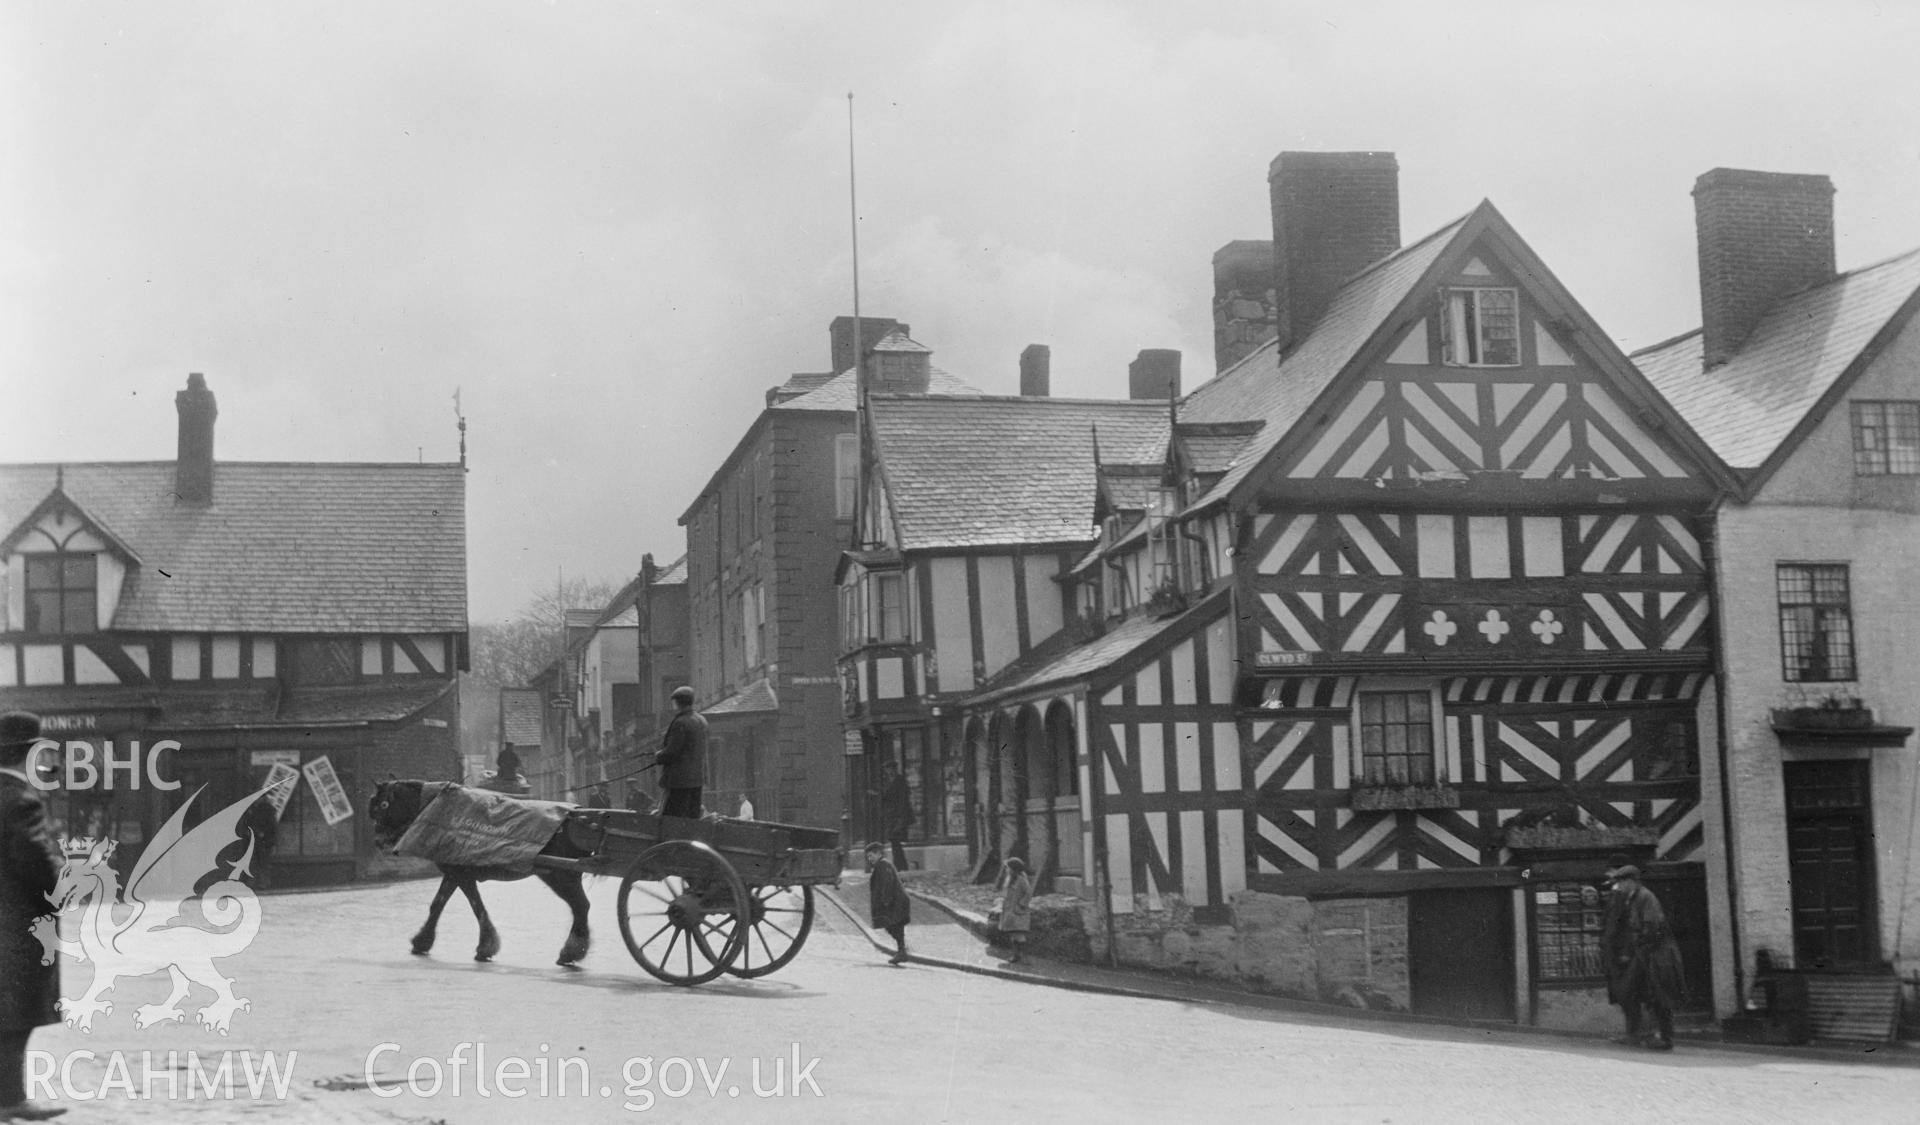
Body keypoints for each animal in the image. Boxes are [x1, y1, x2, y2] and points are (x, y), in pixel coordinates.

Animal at [366, 779, 591, 963]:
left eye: (383, 805)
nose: (377, 841)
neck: (433, 806)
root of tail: (580, 819)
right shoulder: (453, 874)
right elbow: (438, 904)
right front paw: (423, 942)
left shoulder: (461, 875)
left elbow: (473, 906)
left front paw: (485, 947)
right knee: (582, 906)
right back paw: (575, 951)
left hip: (559, 876)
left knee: (580, 905)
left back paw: (570, 952)